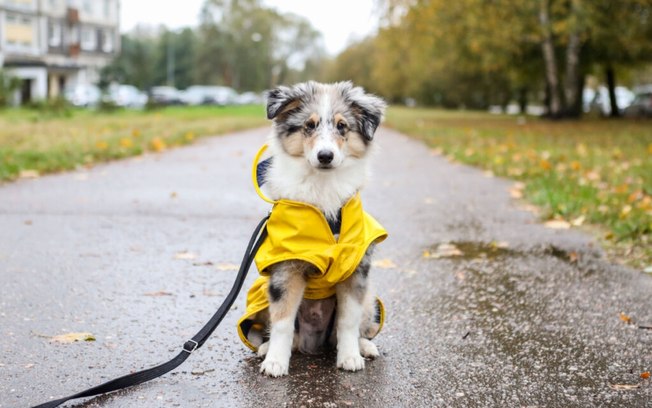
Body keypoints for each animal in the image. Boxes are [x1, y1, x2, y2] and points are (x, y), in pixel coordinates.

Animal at [244, 81, 388, 378]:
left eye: (342, 126)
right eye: (309, 126)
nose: (325, 156)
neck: (323, 189)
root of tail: (313, 341)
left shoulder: (355, 269)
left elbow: (347, 321)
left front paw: (350, 357)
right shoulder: (286, 269)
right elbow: (283, 320)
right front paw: (275, 361)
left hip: (370, 297)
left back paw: (364, 346)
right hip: (261, 294)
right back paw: (265, 348)